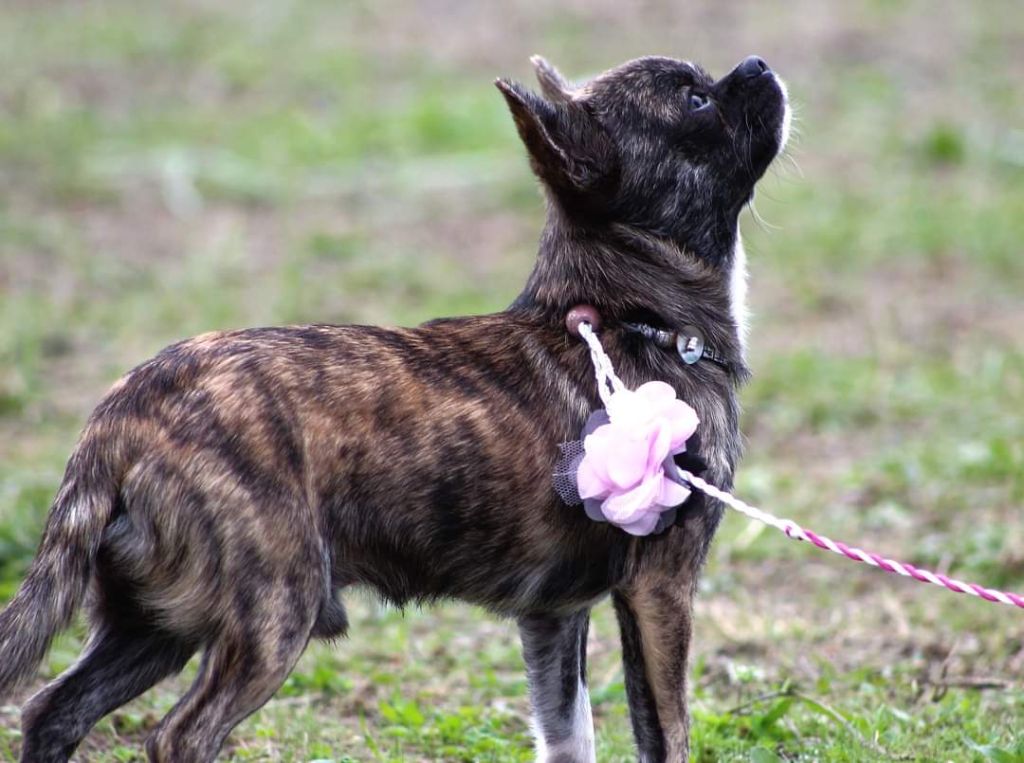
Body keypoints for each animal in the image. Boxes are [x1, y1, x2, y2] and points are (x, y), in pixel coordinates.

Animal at [0, 51, 790, 757]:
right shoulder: (661, 590)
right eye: (696, 101)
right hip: (269, 621)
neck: (630, 316)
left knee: (51, 710)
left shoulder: (552, 619)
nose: (757, 63)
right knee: (179, 735)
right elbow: (667, 733)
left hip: (154, 626)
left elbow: (568, 734)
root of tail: (122, 415)